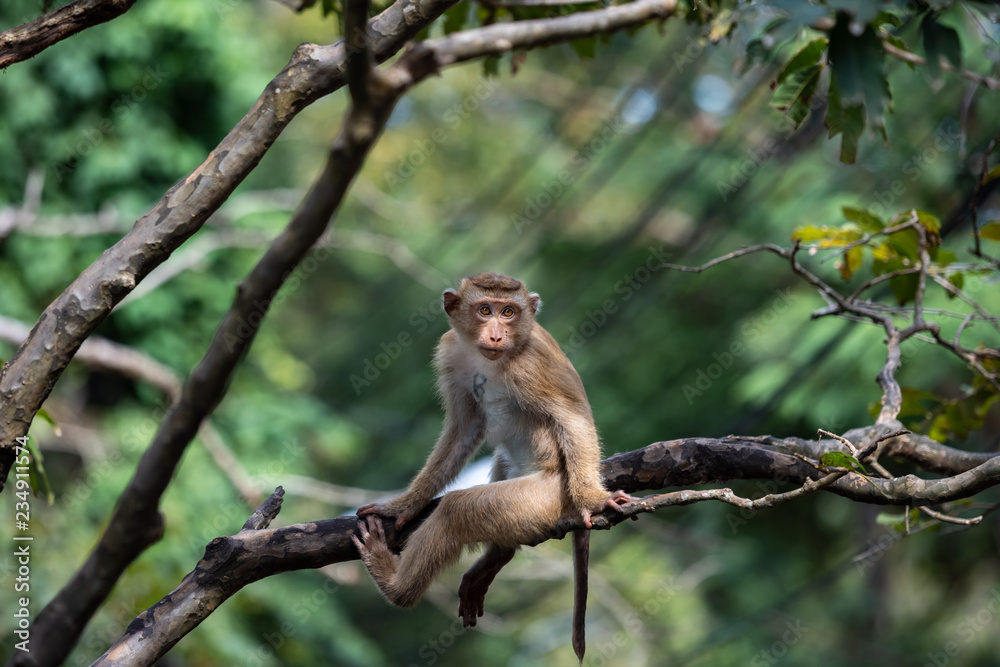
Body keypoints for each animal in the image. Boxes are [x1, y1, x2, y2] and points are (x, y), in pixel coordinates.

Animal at [352, 272, 632, 664]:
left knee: (456, 512)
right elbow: (464, 428)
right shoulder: (450, 351)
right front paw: (404, 504)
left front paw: (594, 500)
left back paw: (397, 588)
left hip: (545, 497)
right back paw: (499, 554)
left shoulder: (531, 365)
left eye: (509, 312)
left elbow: (574, 420)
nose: (497, 335)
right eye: (485, 310)